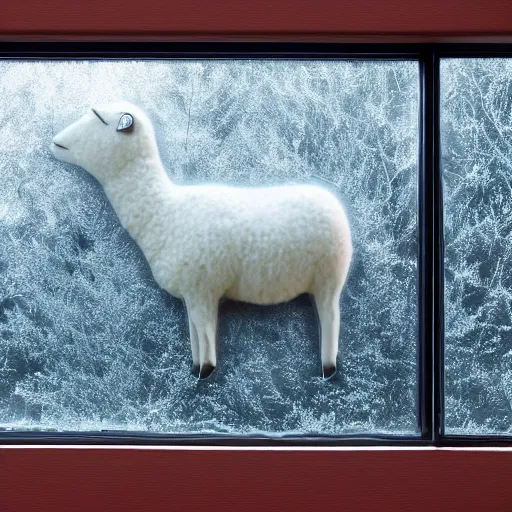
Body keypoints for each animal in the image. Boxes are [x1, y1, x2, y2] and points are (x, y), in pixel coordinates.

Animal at [51, 101, 352, 380]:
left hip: (328, 279)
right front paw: (196, 366)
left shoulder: (203, 288)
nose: (55, 142)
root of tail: (335, 206)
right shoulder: (191, 293)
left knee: (331, 320)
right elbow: (194, 331)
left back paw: (328, 368)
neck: (163, 211)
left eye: (99, 119)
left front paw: (205, 370)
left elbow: (204, 331)